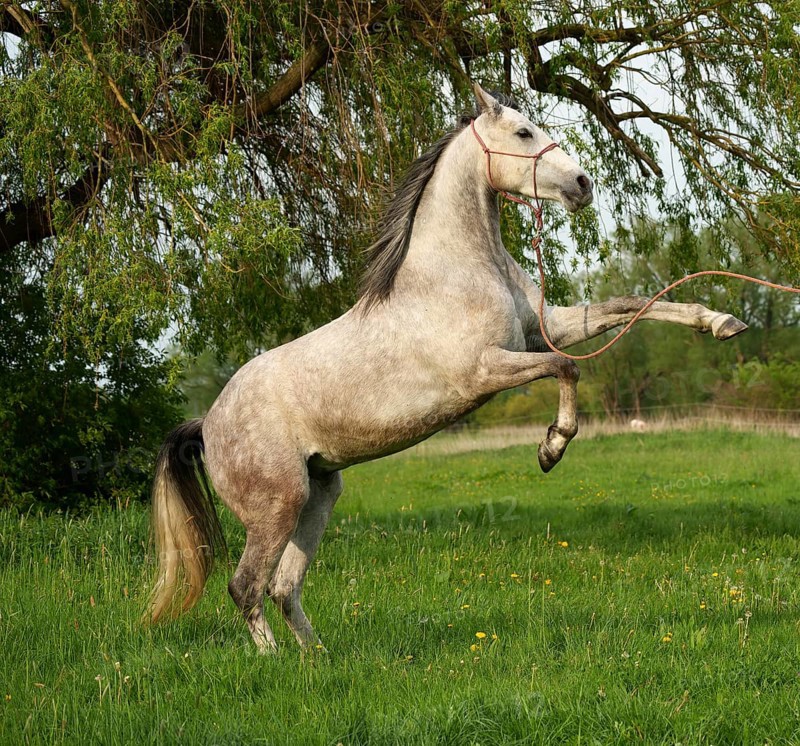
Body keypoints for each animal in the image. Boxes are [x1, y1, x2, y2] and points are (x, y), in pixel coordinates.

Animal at [145, 84, 747, 652]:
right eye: (525, 133)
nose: (582, 184)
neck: (460, 270)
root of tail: (208, 423)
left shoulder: (545, 327)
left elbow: (630, 306)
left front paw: (720, 321)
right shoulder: (484, 372)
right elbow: (565, 369)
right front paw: (551, 449)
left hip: (319, 495)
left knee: (282, 587)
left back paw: (320, 660)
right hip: (277, 505)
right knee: (246, 587)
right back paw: (277, 663)